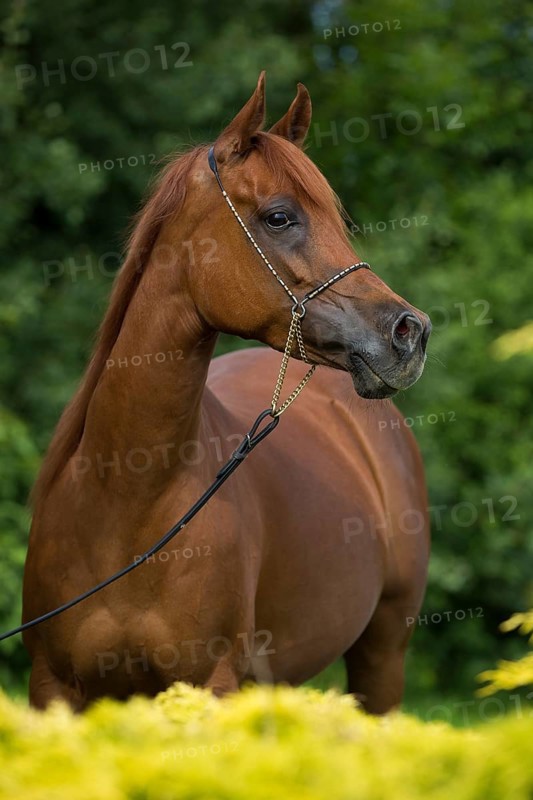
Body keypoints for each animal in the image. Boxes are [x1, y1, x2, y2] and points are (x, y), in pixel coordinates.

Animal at [23, 72, 431, 713]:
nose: (410, 333)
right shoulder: (53, 687)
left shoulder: (211, 683)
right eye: (280, 217)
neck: (123, 496)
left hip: (382, 655)